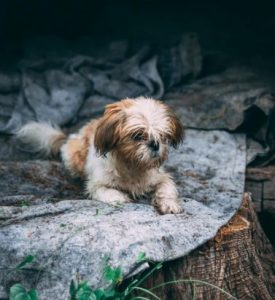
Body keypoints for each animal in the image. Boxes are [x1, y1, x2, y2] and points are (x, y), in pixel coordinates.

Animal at [17, 97, 185, 214]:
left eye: (163, 135)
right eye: (137, 136)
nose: (155, 144)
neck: (132, 165)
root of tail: (71, 137)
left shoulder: (161, 177)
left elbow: (166, 188)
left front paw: (169, 204)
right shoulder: (96, 184)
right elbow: (108, 191)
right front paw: (120, 197)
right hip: (74, 158)